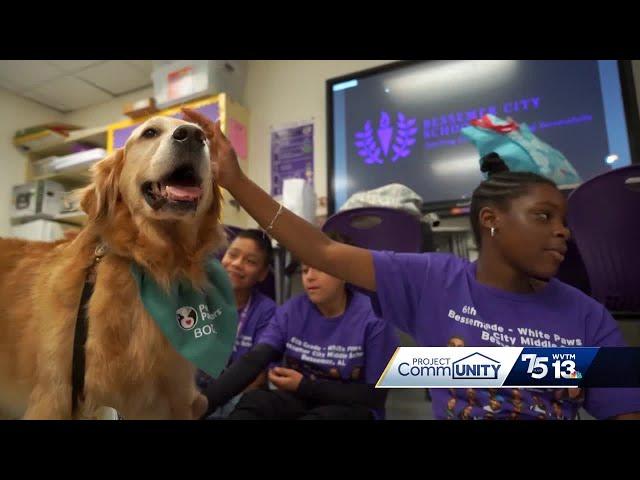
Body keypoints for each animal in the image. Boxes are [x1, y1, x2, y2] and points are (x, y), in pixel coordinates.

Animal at [0, 116, 228, 420]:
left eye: (204, 136)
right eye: (150, 132)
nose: (192, 135)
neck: (152, 261)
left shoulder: (171, 399)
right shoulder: (54, 395)